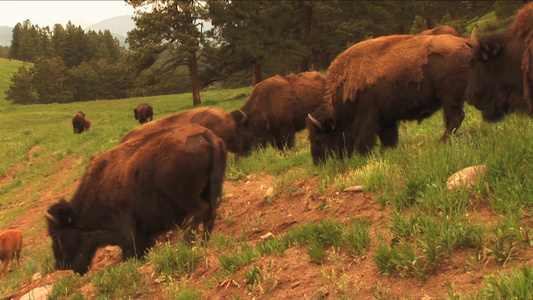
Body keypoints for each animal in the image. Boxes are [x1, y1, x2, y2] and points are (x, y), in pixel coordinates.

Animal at [45, 123, 227, 274]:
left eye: (55, 235)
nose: (60, 266)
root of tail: (208, 135)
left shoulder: (125, 227)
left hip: (184, 195)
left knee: (200, 211)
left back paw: (185, 245)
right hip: (209, 189)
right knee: (210, 213)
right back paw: (203, 244)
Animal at [306, 33, 472, 164]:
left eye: (319, 139)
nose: (317, 162)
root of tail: (465, 43)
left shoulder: (367, 114)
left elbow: (363, 137)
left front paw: (363, 155)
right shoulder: (386, 118)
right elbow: (388, 137)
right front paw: (386, 151)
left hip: (449, 99)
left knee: (455, 118)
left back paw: (442, 142)